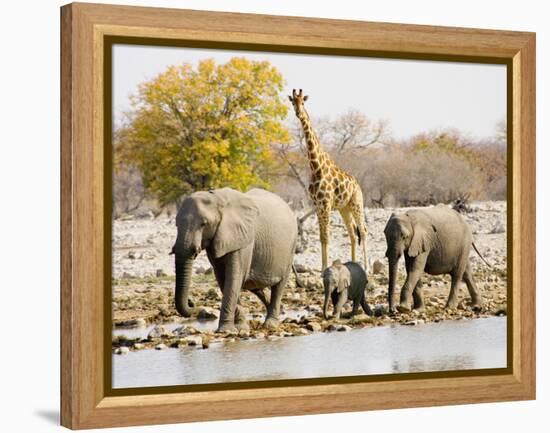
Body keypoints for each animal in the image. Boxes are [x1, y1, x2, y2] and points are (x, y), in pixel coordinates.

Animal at [171, 187, 298, 332]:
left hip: (291, 248)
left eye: (204, 224)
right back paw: (278, 311)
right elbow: (223, 279)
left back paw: (271, 324)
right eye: (176, 225)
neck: (216, 198)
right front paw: (240, 327)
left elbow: (233, 278)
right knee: (254, 286)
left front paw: (225, 330)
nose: (192, 302)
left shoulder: (243, 238)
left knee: (278, 286)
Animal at [288, 88, 370, 270]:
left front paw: (325, 267)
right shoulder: (318, 205)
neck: (315, 167)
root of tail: (358, 185)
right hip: (344, 208)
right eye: (293, 102)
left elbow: (327, 236)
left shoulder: (325, 204)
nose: (298, 113)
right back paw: (353, 263)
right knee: (353, 233)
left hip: (356, 203)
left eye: (303, 102)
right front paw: (322, 267)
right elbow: (321, 237)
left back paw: (367, 266)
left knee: (363, 230)